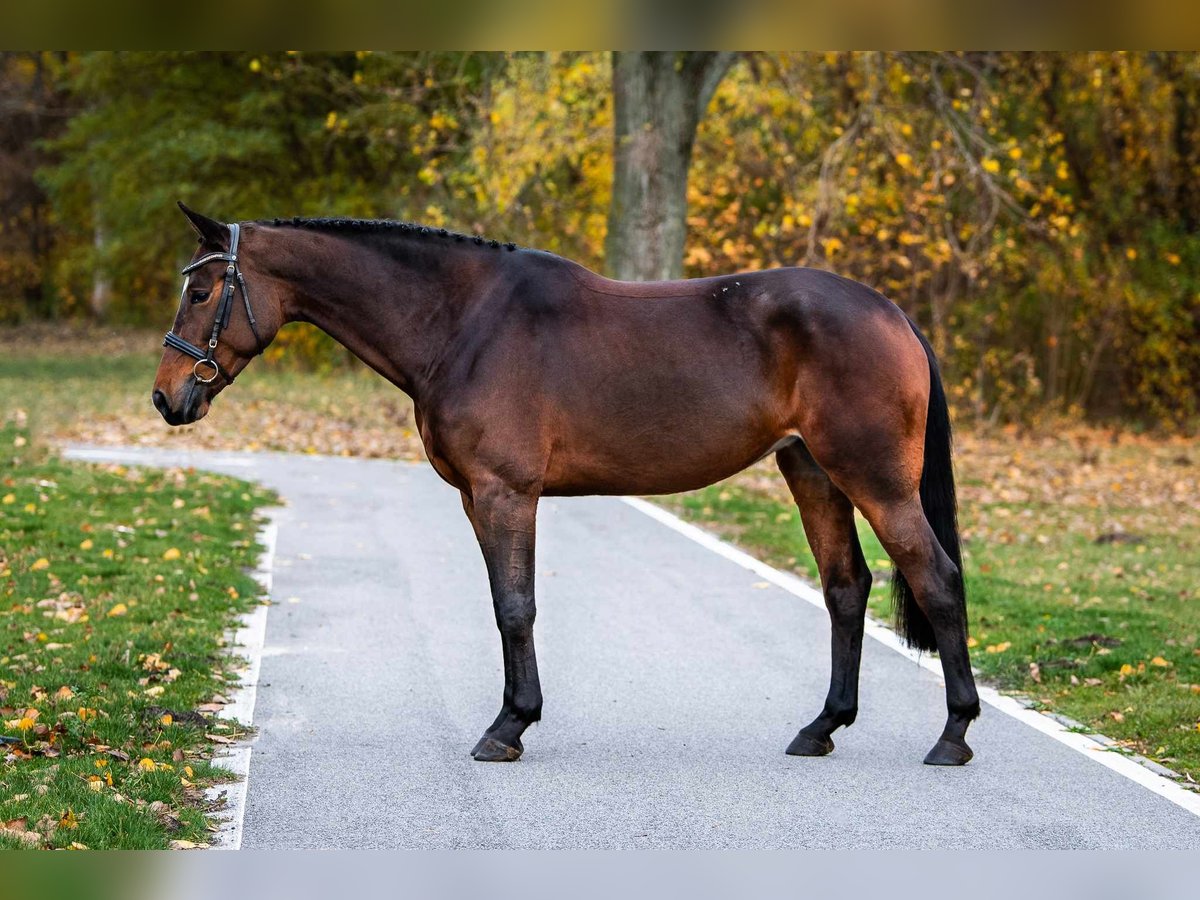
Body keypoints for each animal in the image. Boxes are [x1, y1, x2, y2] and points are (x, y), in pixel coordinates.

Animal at [152, 202, 974, 768]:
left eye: (203, 293)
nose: (167, 399)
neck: (463, 322)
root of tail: (892, 313)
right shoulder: (475, 497)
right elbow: (502, 605)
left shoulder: (504, 492)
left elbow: (515, 607)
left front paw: (508, 727)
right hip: (812, 471)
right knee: (846, 587)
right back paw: (821, 727)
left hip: (874, 481)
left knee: (935, 578)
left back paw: (954, 735)